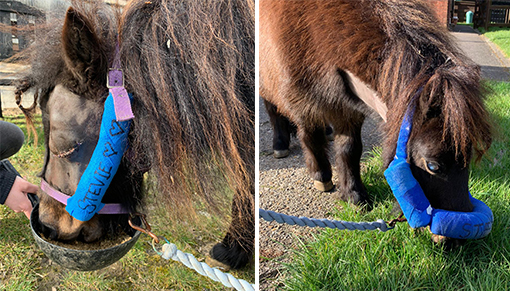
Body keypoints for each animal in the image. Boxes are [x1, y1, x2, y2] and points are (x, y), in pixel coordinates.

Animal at [260, 0, 492, 221]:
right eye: (433, 166)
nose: (457, 234)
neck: (318, 28)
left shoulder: (347, 107)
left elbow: (350, 148)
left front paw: (354, 195)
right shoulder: (301, 101)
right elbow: (310, 137)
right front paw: (322, 176)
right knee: (273, 111)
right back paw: (280, 145)